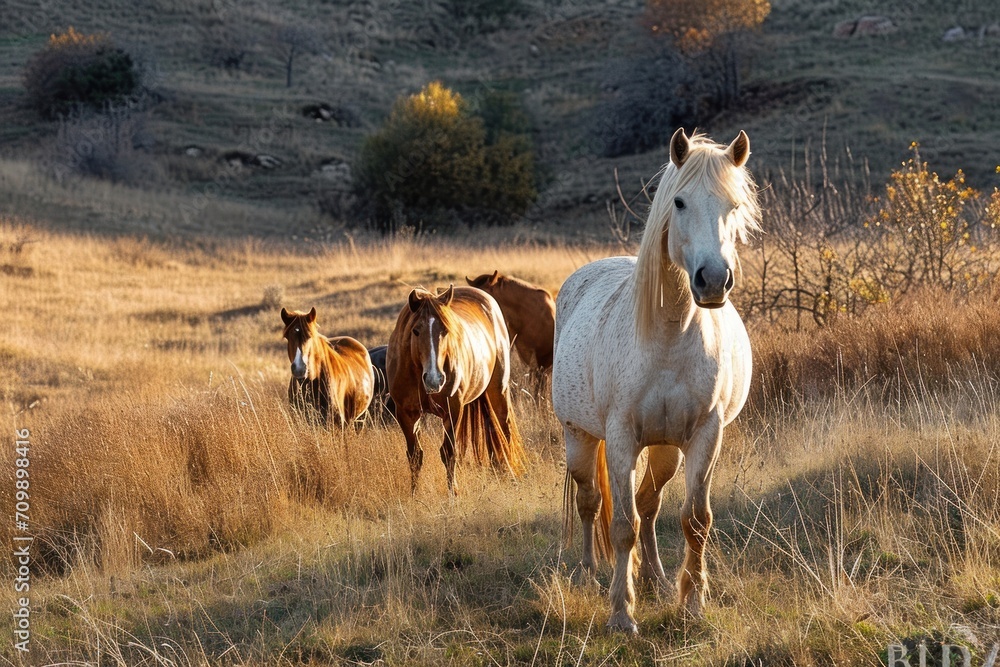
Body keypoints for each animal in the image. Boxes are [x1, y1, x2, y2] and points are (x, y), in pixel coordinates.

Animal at [386, 285, 525, 495]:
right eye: (415, 331)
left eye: (445, 330)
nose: (434, 379)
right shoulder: (406, 414)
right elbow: (414, 455)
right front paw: (414, 494)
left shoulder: (452, 410)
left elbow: (449, 453)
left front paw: (453, 494)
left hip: (498, 390)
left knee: (504, 429)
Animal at [552, 129, 761, 633]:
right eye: (679, 202)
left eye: (735, 205)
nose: (713, 281)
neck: (669, 335)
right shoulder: (621, 437)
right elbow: (621, 525)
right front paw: (621, 614)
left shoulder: (705, 435)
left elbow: (694, 520)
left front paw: (692, 603)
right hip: (580, 437)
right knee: (590, 502)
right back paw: (588, 573)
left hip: (667, 449)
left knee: (649, 504)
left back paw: (656, 579)